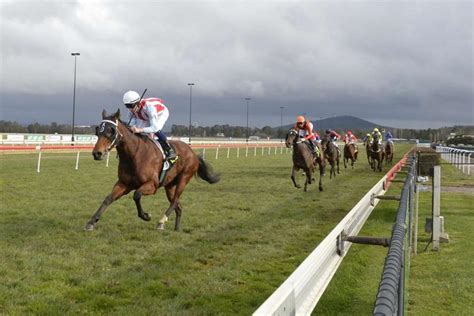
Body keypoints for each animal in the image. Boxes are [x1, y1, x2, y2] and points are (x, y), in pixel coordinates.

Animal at [87, 110, 220, 231]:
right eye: (98, 131)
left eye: (110, 131)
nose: (97, 153)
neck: (134, 155)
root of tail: (193, 152)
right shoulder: (124, 184)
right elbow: (108, 199)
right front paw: (91, 222)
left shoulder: (152, 185)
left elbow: (136, 195)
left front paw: (145, 216)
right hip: (170, 186)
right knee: (178, 206)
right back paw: (176, 229)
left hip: (184, 178)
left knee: (174, 201)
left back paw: (162, 221)